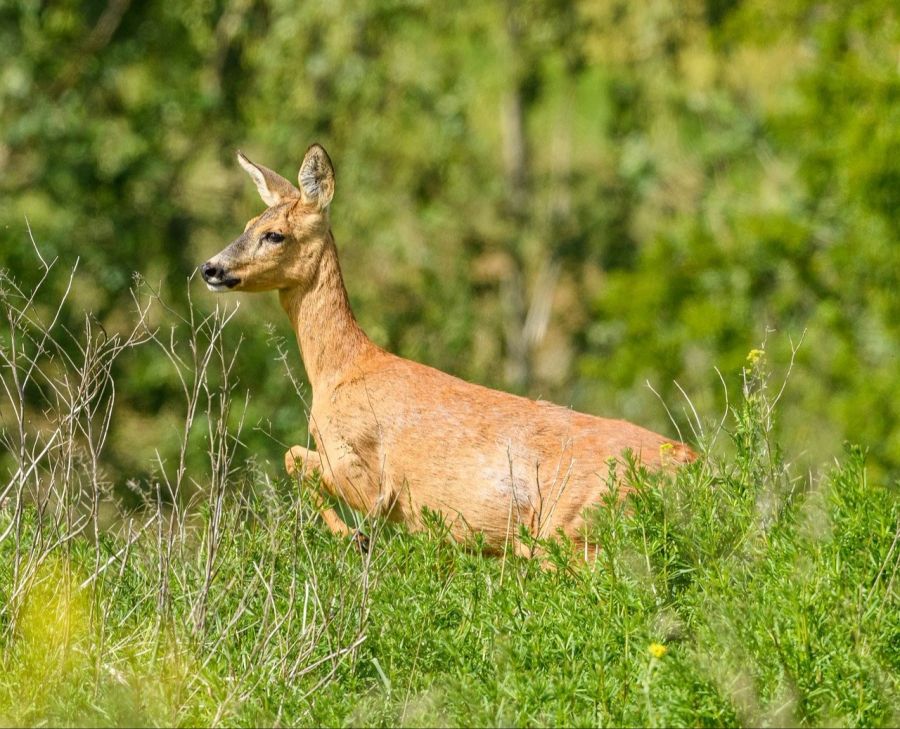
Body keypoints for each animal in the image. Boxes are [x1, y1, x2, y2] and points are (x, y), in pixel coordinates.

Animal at [202, 145, 696, 560]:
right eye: (246, 225)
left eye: (275, 235)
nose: (211, 268)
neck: (341, 372)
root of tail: (694, 465)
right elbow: (292, 459)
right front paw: (354, 537)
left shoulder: (367, 473)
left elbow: (294, 461)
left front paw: (355, 538)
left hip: (571, 527)